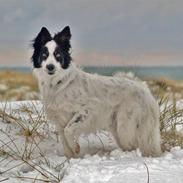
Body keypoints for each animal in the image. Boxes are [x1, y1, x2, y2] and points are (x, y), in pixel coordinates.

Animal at [31, 26, 162, 158]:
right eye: (44, 55)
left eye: (58, 55)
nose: (50, 67)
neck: (58, 83)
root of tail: (143, 87)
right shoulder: (60, 120)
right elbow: (64, 140)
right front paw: (71, 157)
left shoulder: (87, 110)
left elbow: (68, 130)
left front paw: (76, 148)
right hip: (117, 128)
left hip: (125, 127)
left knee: (134, 146)